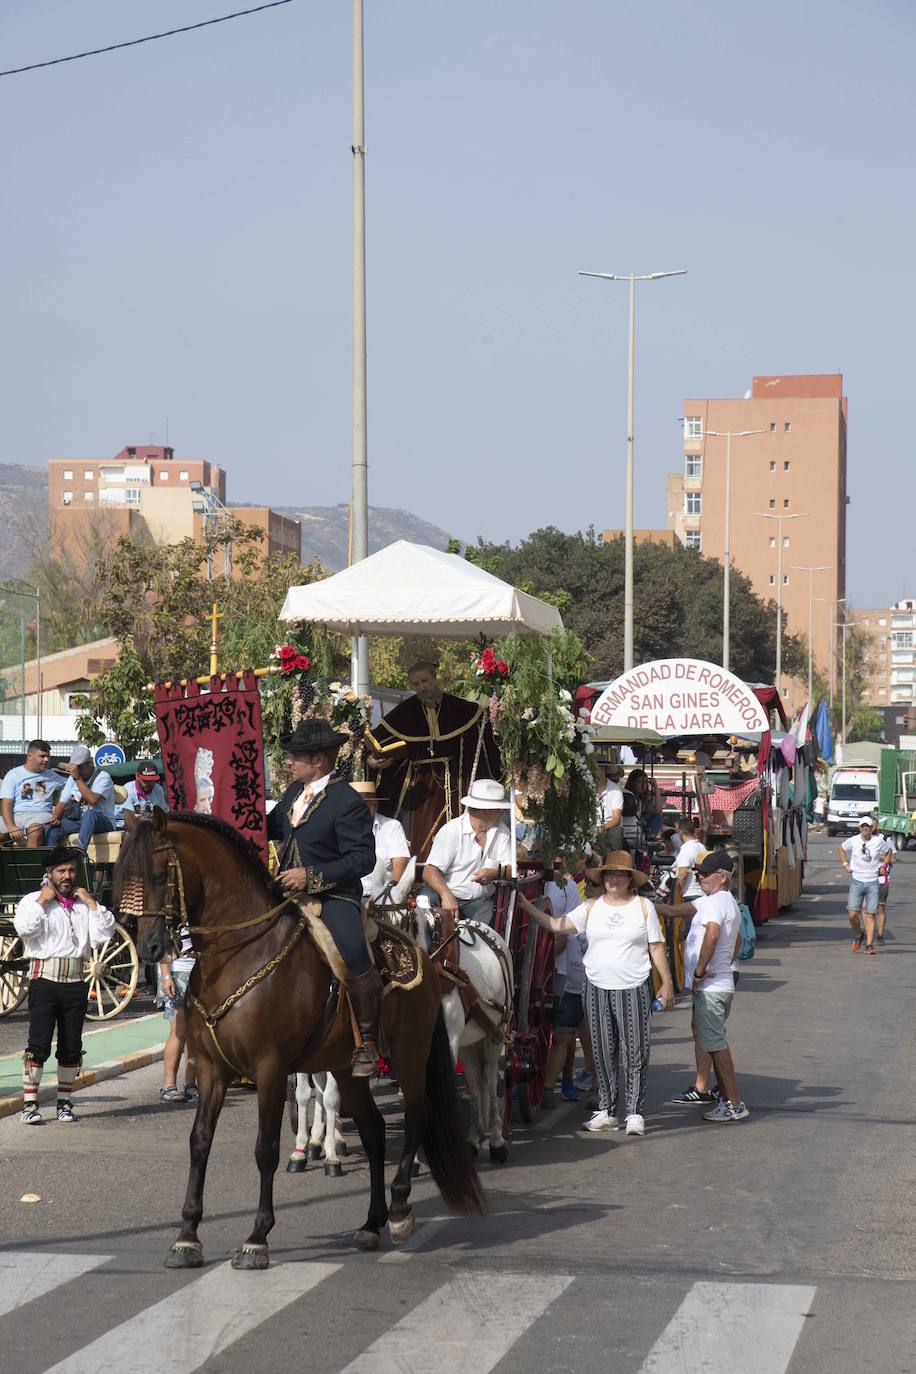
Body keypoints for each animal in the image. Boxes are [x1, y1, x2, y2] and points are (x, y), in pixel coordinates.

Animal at [118, 807, 483, 1269]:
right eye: (125, 874)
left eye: (158, 874)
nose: (149, 948)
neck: (238, 954)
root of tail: (424, 954)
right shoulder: (212, 1069)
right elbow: (199, 1143)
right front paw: (187, 1237)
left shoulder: (270, 1068)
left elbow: (266, 1148)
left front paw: (257, 1237)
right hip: (347, 1067)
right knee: (375, 1130)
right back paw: (371, 1223)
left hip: (410, 1055)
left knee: (420, 1116)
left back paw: (399, 1209)